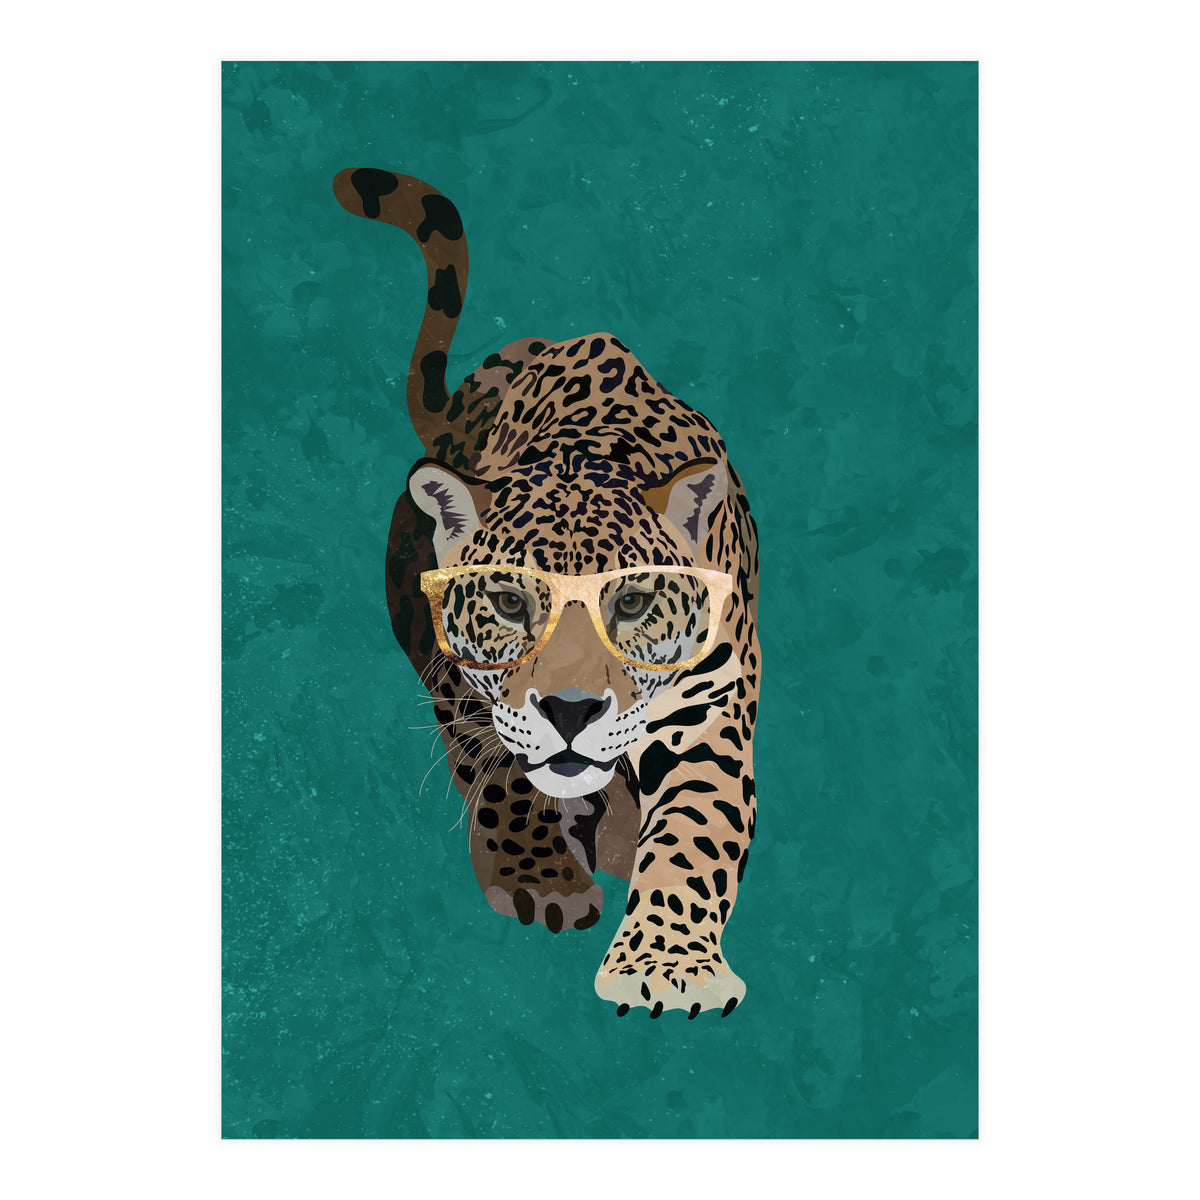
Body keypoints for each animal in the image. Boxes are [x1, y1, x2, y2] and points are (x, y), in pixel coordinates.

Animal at [333, 168, 761, 1018]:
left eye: (630, 603)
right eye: (508, 602)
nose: (570, 711)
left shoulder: (709, 707)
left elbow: (695, 831)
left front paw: (667, 966)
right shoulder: (465, 684)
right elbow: (502, 772)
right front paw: (541, 878)